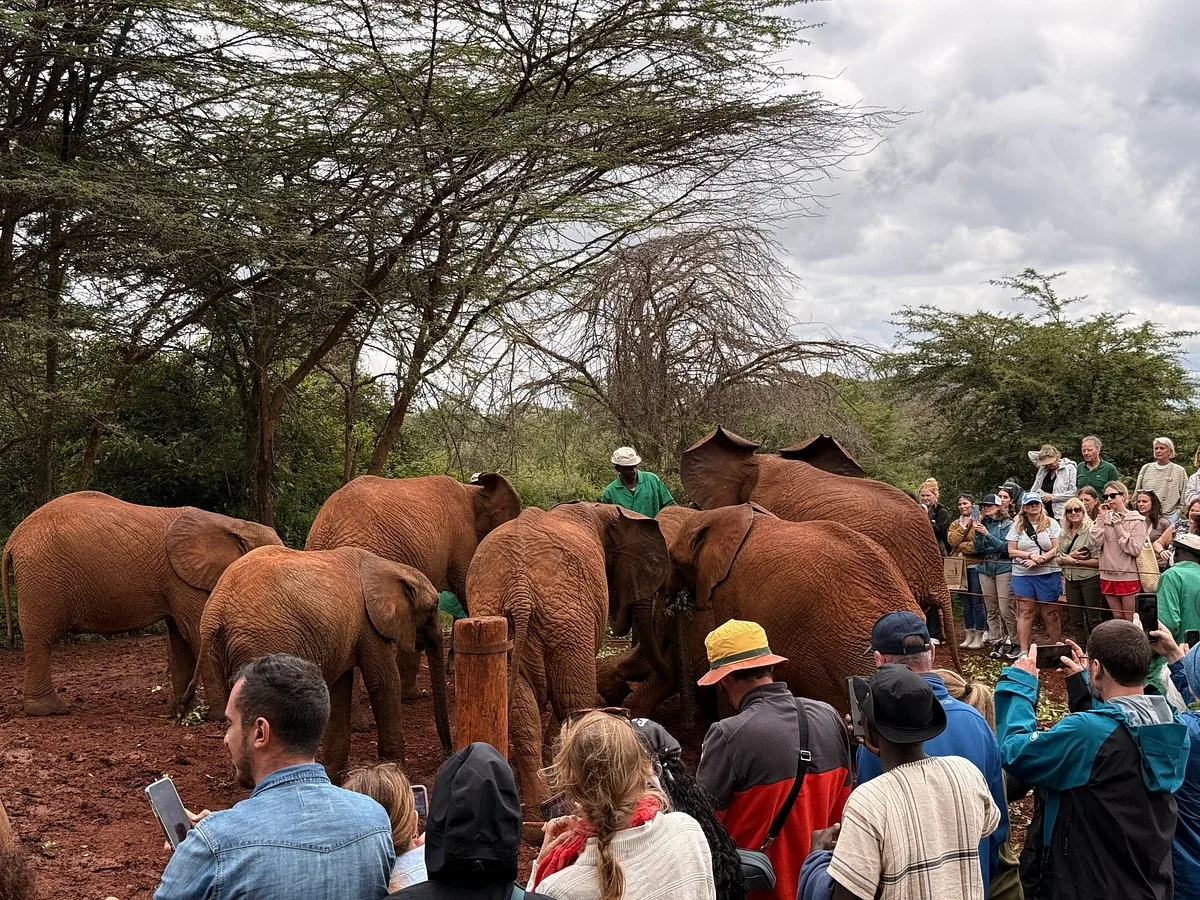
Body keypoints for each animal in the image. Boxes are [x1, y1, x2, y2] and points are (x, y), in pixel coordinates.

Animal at [1, 491, 282, 716]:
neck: (234, 524)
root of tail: (13, 539)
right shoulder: (182, 579)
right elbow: (195, 633)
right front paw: (218, 716)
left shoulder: (175, 581)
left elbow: (179, 638)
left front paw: (180, 712)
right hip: (42, 577)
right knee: (40, 639)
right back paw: (50, 711)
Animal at [179, 545, 452, 783]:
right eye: (434, 607)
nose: (446, 756)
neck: (390, 567)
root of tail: (215, 613)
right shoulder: (368, 623)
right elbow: (382, 682)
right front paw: (398, 772)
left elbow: (339, 689)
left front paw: (333, 775)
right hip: (260, 640)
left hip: (221, 652)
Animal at [464, 502, 672, 807]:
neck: (602, 509)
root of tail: (520, 592)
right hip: (568, 623)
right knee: (573, 704)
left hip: (504, 620)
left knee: (523, 717)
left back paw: (541, 806)